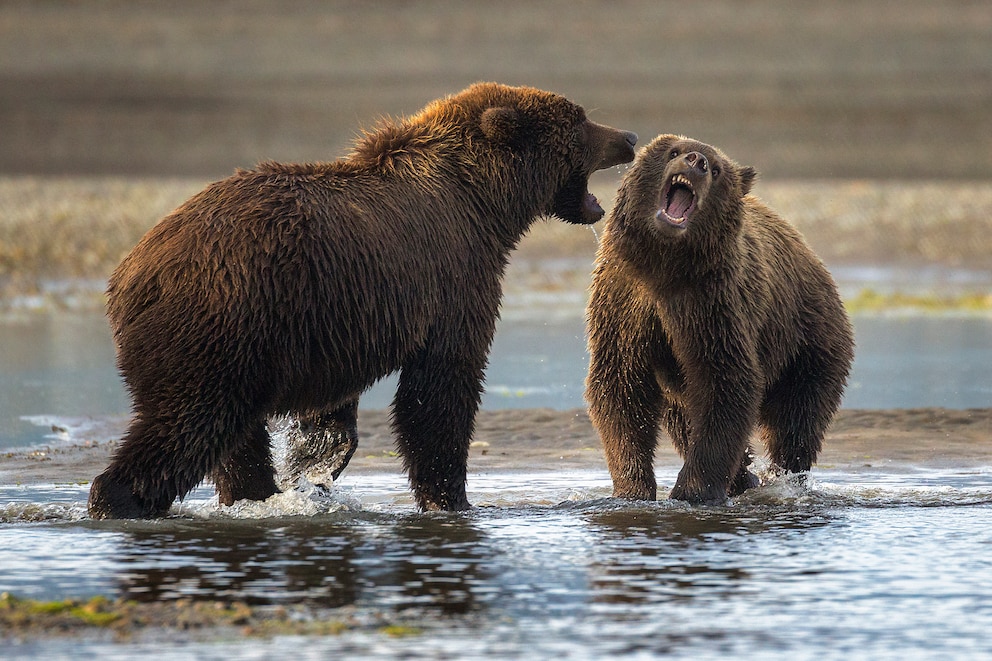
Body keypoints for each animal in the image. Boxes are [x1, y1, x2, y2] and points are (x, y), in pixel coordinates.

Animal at [91, 81, 636, 516]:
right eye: (580, 121)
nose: (628, 138)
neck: (483, 202)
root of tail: (132, 275)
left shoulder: (337, 318)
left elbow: (336, 407)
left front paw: (314, 462)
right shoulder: (454, 278)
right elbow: (439, 389)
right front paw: (451, 499)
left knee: (234, 437)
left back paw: (253, 495)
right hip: (221, 325)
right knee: (187, 423)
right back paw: (116, 499)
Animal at [584, 134, 856, 506]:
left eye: (716, 169)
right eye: (674, 151)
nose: (696, 161)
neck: (665, 264)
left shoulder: (712, 304)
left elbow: (726, 382)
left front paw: (693, 491)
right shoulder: (625, 301)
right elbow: (621, 386)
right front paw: (632, 489)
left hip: (807, 340)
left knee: (797, 419)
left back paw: (783, 478)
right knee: (683, 419)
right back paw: (745, 476)